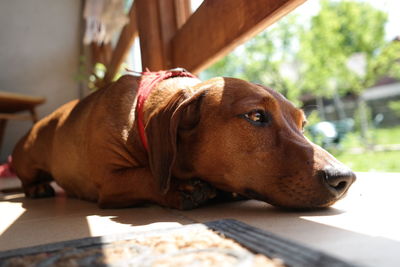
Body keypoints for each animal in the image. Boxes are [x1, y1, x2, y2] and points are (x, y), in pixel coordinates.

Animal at [12, 70, 356, 210]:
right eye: (256, 116)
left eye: (303, 124)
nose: (345, 178)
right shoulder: (109, 182)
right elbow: (143, 176)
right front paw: (182, 188)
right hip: (28, 158)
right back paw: (37, 188)